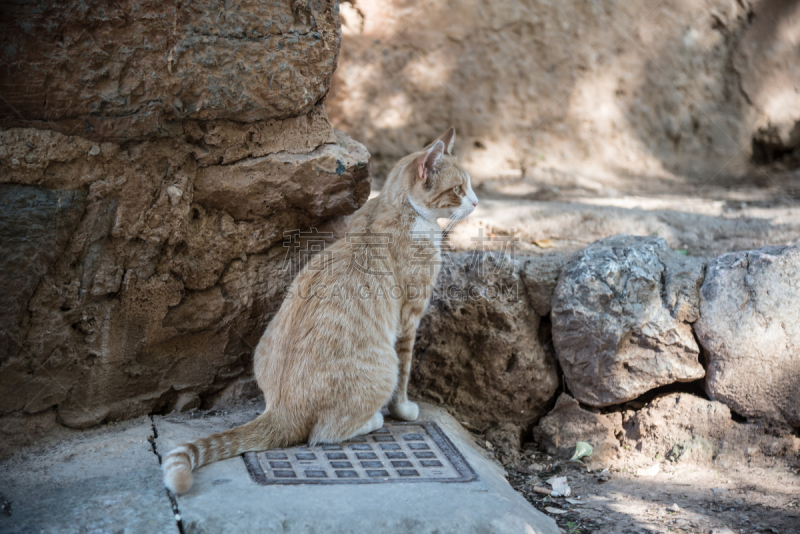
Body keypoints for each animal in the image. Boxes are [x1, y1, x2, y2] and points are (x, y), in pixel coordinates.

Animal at [162, 126, 476, 494]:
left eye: (470, 187)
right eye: (458, 190)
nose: (476, 201)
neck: (395, 207)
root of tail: (281, 410)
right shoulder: (408, 320)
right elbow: (406, 374)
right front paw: (404, 410)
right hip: (384, 365)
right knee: (323, 434)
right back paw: (373, 419)